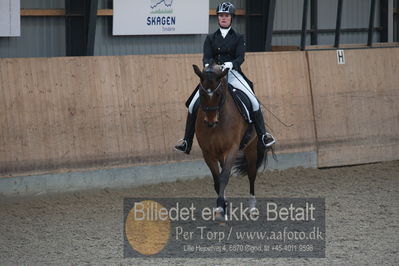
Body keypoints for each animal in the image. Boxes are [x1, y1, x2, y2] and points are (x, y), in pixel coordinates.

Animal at [193, 62, 268, 220]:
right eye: (201, 93)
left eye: (218, 94)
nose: (210, 122)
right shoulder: (207, 153)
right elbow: (217, 179)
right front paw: (222, 207)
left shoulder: (232, 149)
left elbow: (224, 177)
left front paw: (221, 207)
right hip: (220, 153)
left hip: (251, 149)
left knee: (252, 173)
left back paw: (252, 207)